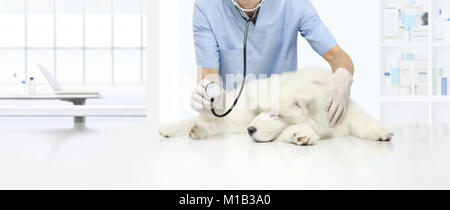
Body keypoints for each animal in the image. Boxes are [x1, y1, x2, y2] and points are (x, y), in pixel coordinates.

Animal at [159, 68, 394, 145]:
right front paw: (301, 134)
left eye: (274, 115)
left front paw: (383, 132)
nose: (250, 129)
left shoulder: (343, 111)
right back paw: (170, 128)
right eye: (259, 112)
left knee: (210, 125)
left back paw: (196, 131)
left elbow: (362, 120)